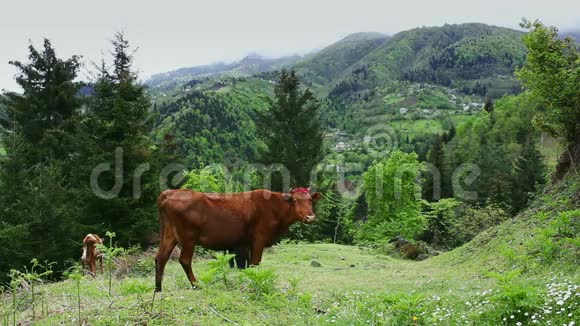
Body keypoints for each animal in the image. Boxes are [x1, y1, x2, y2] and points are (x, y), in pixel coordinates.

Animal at [154, 187, 322, 292]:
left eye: (310, 201)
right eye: (295, 201)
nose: (310, 217)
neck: (275, 208)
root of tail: (170, 192)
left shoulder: (245, 243)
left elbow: (246, 264)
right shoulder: (259, 238)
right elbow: (254, 263)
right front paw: (253, 282)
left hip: (168, 234)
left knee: (160, 258)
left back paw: (158, 288)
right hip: (188, 237)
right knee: (184, 260)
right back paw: (196, 285)